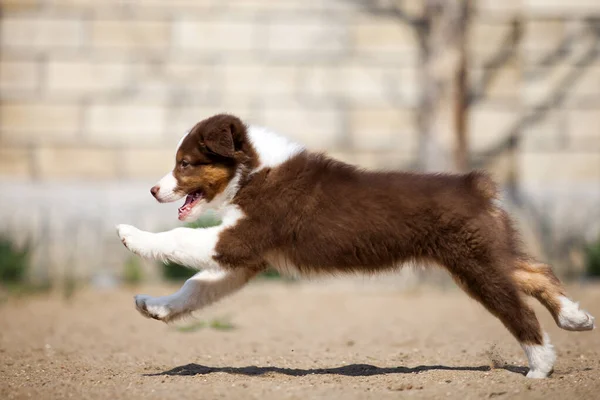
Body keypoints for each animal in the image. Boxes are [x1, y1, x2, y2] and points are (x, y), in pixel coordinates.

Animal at [117, 112, 596, 378]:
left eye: (185, 164)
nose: (153, 190)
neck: (253, 171)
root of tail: (475, 186)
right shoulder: (246, 258)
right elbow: (195, 287)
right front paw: (154, 306)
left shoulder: (243, 237)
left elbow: (180, 238)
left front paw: (130, 234)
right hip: (487, 251)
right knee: (533, 271)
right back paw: (575, 317)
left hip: (473, 263)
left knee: (515, 307)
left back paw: (540, 365)